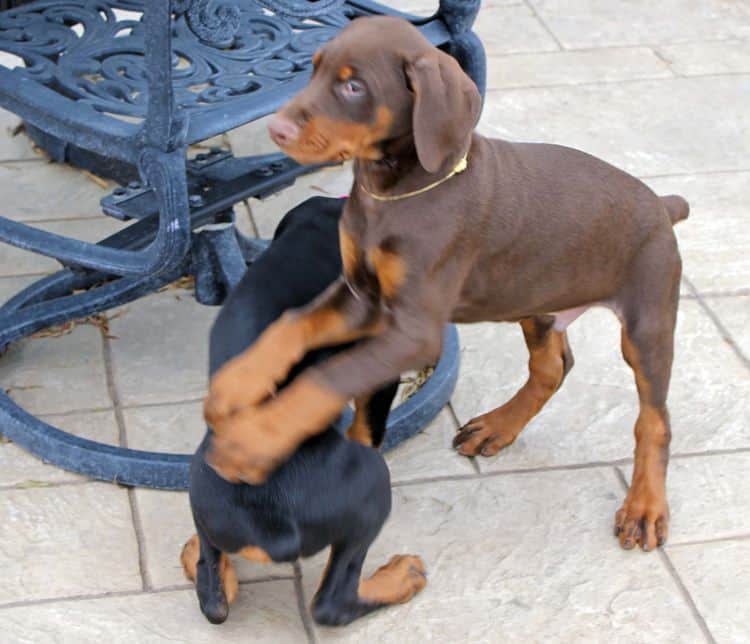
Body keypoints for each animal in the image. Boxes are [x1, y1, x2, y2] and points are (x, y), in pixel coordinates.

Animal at [181, 197, 428, 628]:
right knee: (331, 603)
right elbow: (368, 427)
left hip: (200, 485)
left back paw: (199, 558)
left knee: (214, 597)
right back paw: (402, 577)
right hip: (370, 489)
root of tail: (271, 530)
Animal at [203, 15, 692, 552]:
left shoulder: (412, 331)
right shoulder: (362, 298)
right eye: (313, 71)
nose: (278, 128)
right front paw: (234, 385)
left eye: (354, 86)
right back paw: (498, 427)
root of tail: (661, 205)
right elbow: (292, 325)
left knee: (654, 420)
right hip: (537, 299)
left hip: (647, 321)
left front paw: (250, 443)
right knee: (551, 367)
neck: (392, 191)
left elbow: (324, 378)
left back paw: (645, 507)